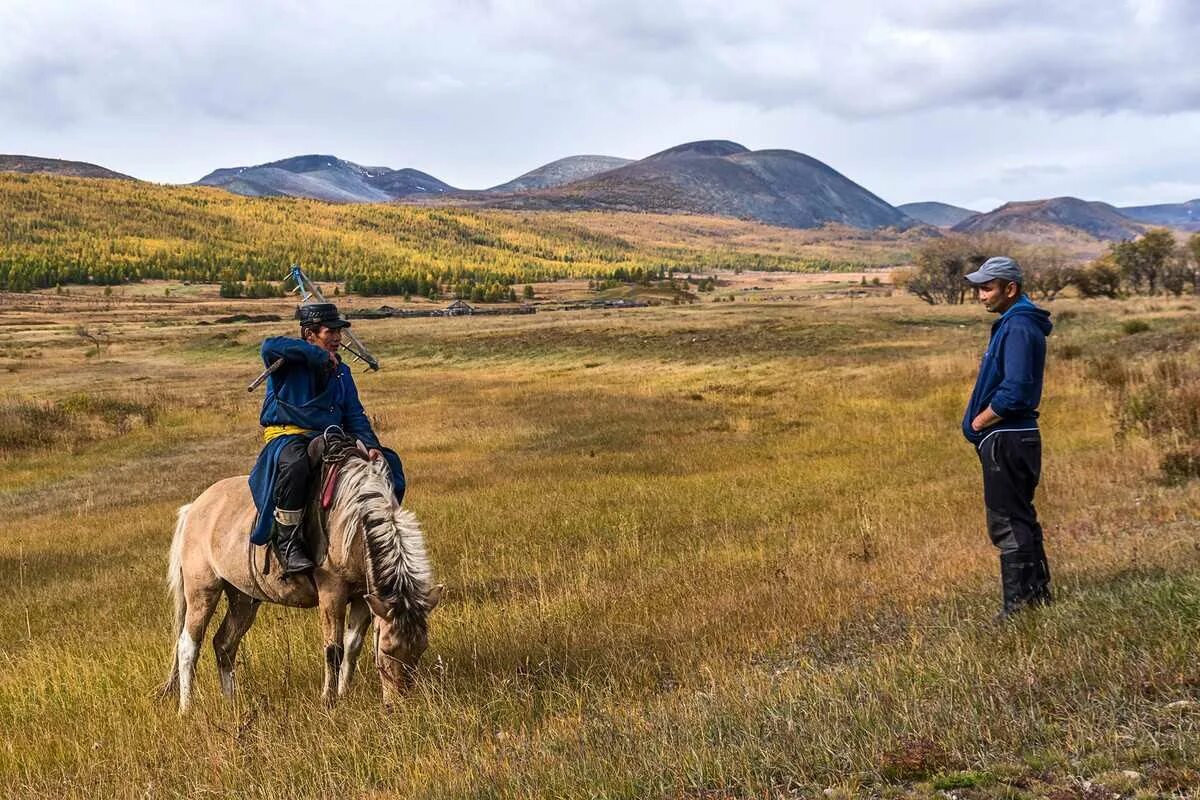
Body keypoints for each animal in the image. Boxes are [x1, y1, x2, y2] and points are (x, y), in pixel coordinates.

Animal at [159, 431, 441, 714]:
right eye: (387, 650)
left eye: (420, 650)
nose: (399, 705)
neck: (354, 522)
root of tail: (194, 507)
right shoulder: (332, 592)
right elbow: (334, 649)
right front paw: (329, 701)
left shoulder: (364, 595)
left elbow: (352, 646)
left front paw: (344, 693)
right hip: (202, 590)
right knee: (188, 646)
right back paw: (186, 708)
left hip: (243, 597)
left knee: (224, 644)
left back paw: (231, 702)